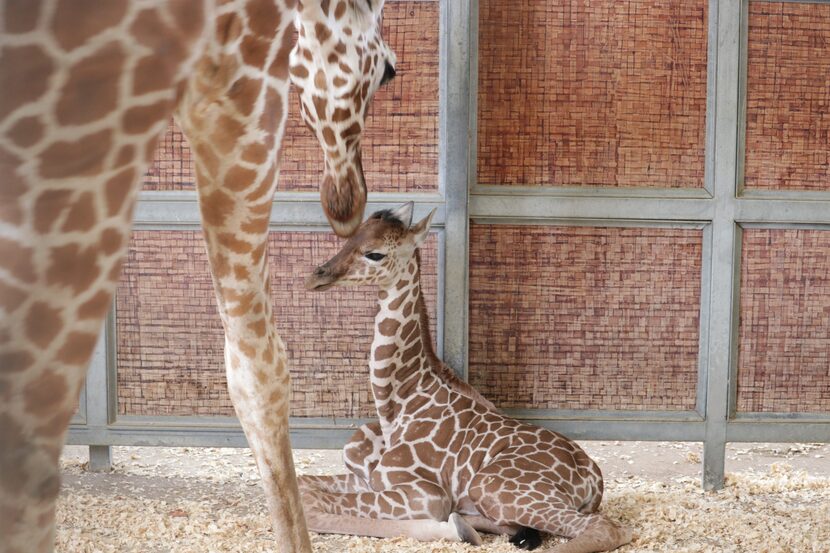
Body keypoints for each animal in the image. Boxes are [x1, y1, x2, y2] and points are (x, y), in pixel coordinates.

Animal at [302, 204, 632, 552]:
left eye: (374, 253)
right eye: (350, 238)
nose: (315, 277)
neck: (400, 404)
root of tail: (595, 478)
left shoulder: (424, 495)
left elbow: (312, 504)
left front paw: (452, 530)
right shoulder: (364, 477)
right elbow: (304, 485)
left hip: (494, 485)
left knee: (608, 527)